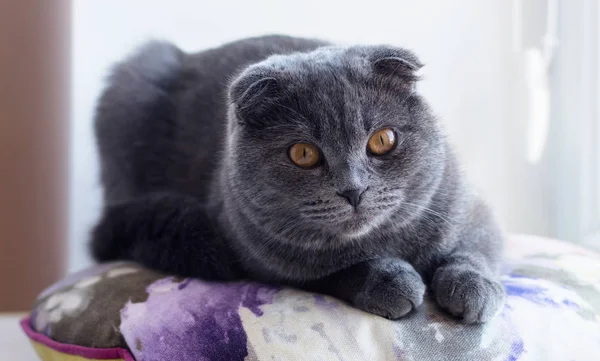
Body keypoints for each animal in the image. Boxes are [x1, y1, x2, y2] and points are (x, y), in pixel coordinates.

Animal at [91, 33, 506, 322]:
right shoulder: (264, 263)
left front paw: (474, 289)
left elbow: (476, 251)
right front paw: (389, 282)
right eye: (303, 154)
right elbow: (337, 272)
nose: (354, 190)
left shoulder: (473, 210)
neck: (384, 240)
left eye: (382, 140)